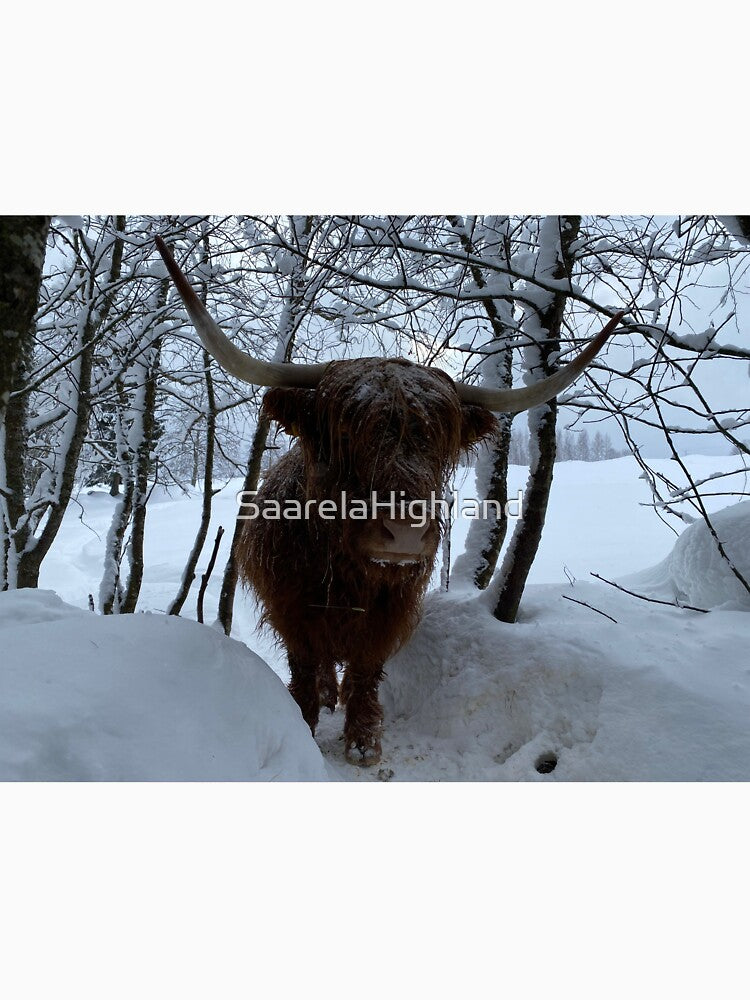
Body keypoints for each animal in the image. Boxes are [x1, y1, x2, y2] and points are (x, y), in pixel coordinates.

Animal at [155, 236, 622, 766]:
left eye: (438, 442)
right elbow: (304, 665)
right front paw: (306, 723)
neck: (347, 574)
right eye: (343, 437)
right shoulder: (293, 609)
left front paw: (363, 740)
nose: (404, 534)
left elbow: (365, 669)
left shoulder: (389, 611)